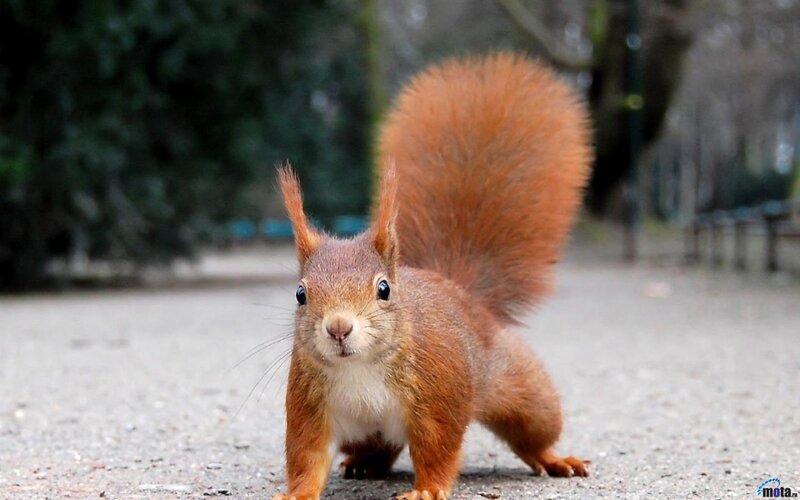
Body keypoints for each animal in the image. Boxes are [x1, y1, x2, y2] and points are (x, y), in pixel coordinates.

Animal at [272, 53, 592, 500]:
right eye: (300, 294)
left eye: (384, 289)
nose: (338, 328)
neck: (360, 367)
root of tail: (460, 291)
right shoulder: (308, 404)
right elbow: (307, 455)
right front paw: (296, 492)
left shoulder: (438, 393)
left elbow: (437, 448)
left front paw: (426, 489)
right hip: (363, 433)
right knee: (378, 447)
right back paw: (364, 465)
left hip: (524, 390)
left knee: (534, 432)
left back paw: (554, 458)